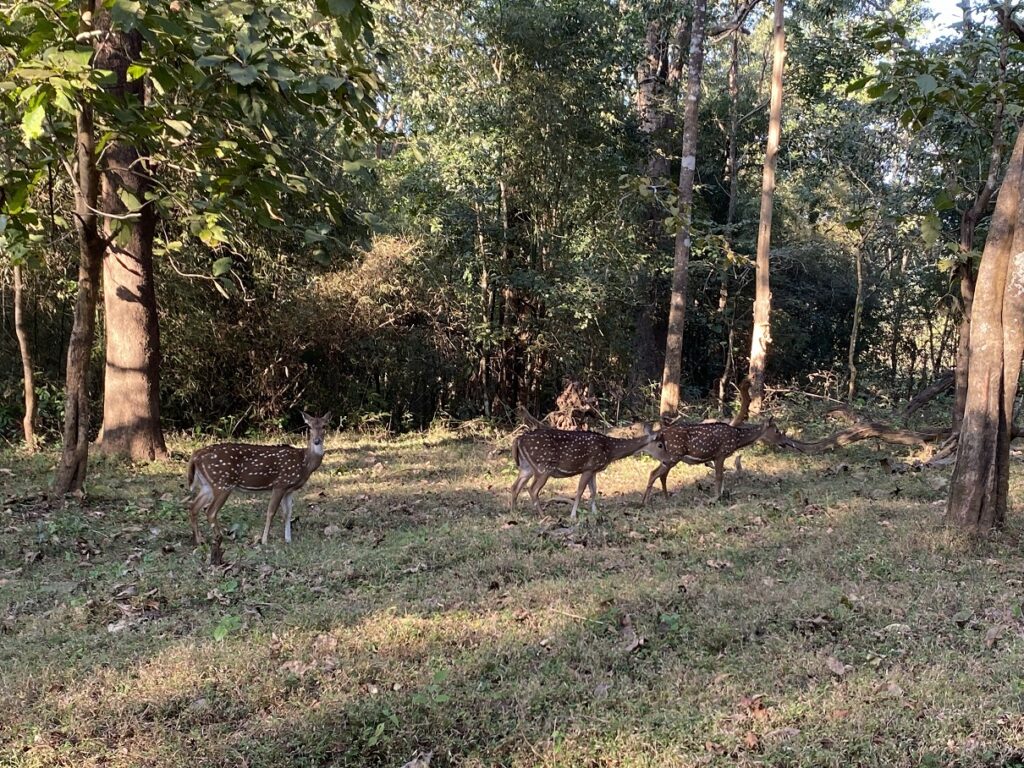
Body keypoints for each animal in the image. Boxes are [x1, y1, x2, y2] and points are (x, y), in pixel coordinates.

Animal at [187, 412, 331, 559]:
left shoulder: (289, 489)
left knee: (193, 507)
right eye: (309, 427)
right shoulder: (280, 484)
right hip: (222, 483)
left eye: (324, 426)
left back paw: (199, 540)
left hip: (207, 485)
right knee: (210, 511)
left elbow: (288, 513)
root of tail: (195, 455)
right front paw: (264, 540)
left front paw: (288, 539)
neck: (304, 463)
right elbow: (271, 512)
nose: (317, 441)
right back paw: (220, 537)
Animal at [511, 424, 666, 519]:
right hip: (543, 467)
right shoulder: (588, 467)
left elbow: (594, 490)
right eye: (660, 445)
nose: (666, 460)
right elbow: (580, 491)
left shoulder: (594, 470)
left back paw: (514, 511)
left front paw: (595, 512)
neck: (610, 450)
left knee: (515, 486)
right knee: (532, 489)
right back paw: (543, 515)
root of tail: (518, 439)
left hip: (526, 467)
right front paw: (573, 515)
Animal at [642, 418, 787, 504]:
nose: (784, 443)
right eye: (776, 430)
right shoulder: (720, 454)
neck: (737, 439)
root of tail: (660, 433)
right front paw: (715, 498)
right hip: (674, 455)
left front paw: (720, 495)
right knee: (654, 473)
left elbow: (720, 476)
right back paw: (645, 502)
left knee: (660, 474)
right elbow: (719, 476)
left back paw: (665, 499)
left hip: (669, 458)